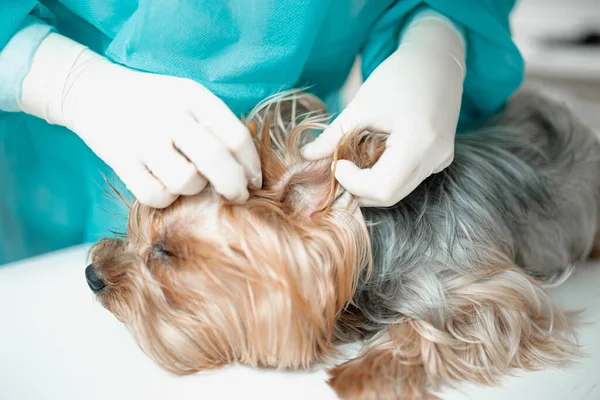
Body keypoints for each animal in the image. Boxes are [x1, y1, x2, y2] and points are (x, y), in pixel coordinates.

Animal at [85, 89, 600, 398]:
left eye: (165, 252)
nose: (91, 275)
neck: (378, 243)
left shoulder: (494, 292)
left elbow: (444, 322)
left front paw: (361, 374)